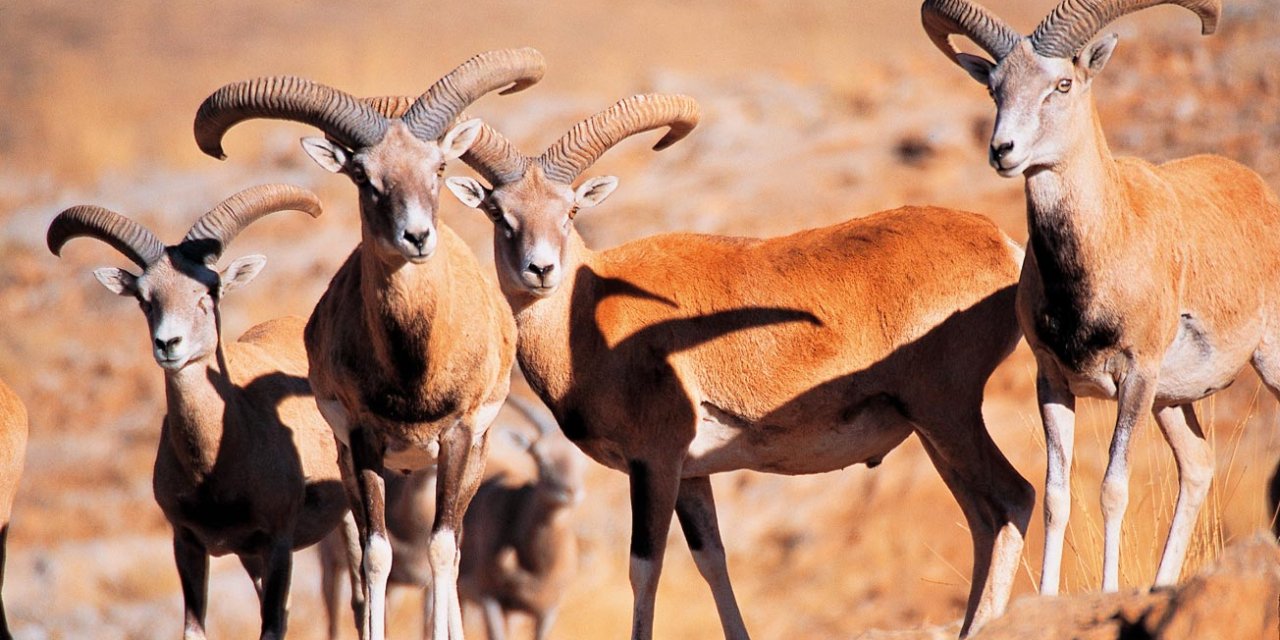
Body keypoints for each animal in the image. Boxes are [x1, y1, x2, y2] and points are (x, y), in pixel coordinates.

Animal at [46, 185, 348, 640]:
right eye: (145, 299)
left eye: (210, 291)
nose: (168, 344)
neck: (215, 466)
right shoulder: (188, 544)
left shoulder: (277, 543)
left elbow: (272, 626)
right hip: (251, 559)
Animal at [442, 92, 1039, 637]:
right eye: (498, 213)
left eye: (570, 210)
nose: (540, 270)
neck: (588, 314)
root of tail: (1002, 246)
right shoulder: (691, 474)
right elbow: (712, 560)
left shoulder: (654, 463)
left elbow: (645, 569)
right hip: (934, 433)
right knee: (982, 521)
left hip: (948, 414)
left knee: (1013, 499)